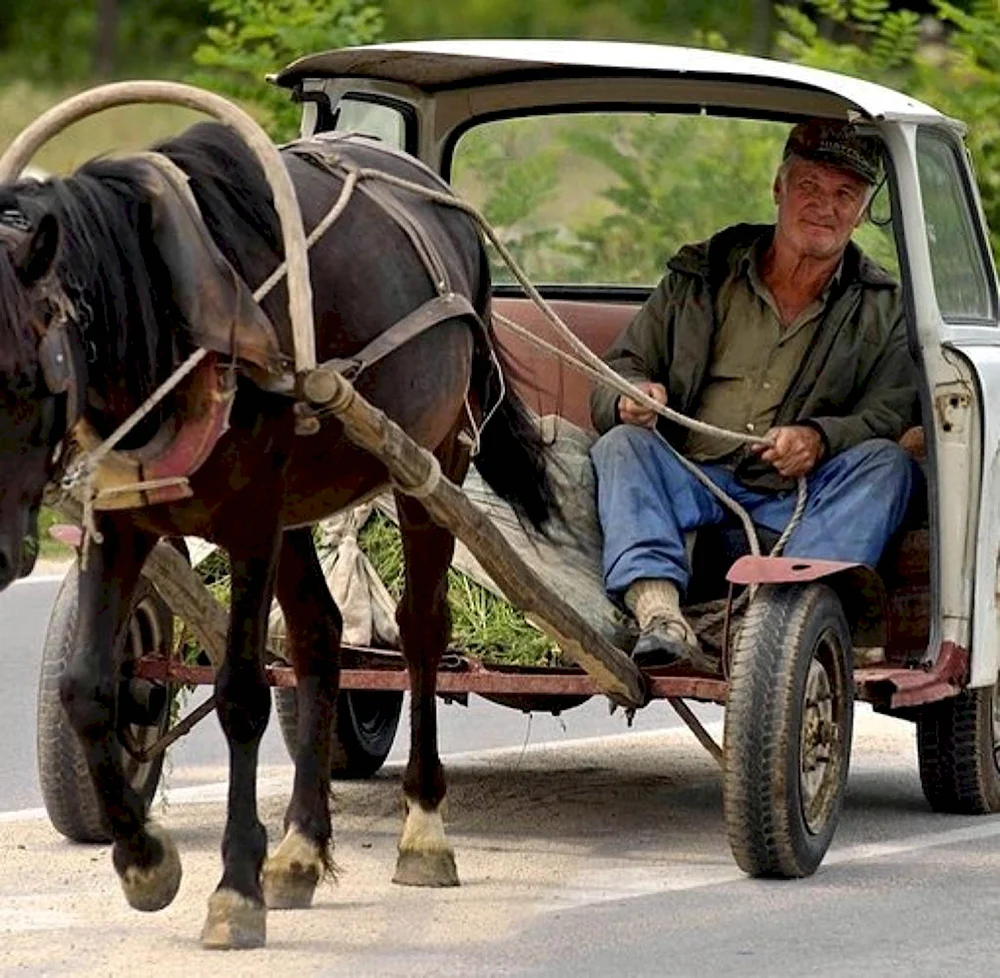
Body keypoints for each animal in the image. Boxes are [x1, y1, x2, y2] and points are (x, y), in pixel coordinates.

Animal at [0, 122, 560, 944]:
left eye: (20, 368)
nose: (5, 543)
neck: (175, 312)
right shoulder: (121, 518)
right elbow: (88, 690)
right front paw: (144, 860)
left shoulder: (252, 520)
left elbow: (242, 695)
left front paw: (234, 889)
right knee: (321, 635)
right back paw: (300, 849)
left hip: (435, 461)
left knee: (422, 632)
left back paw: (424, 828)